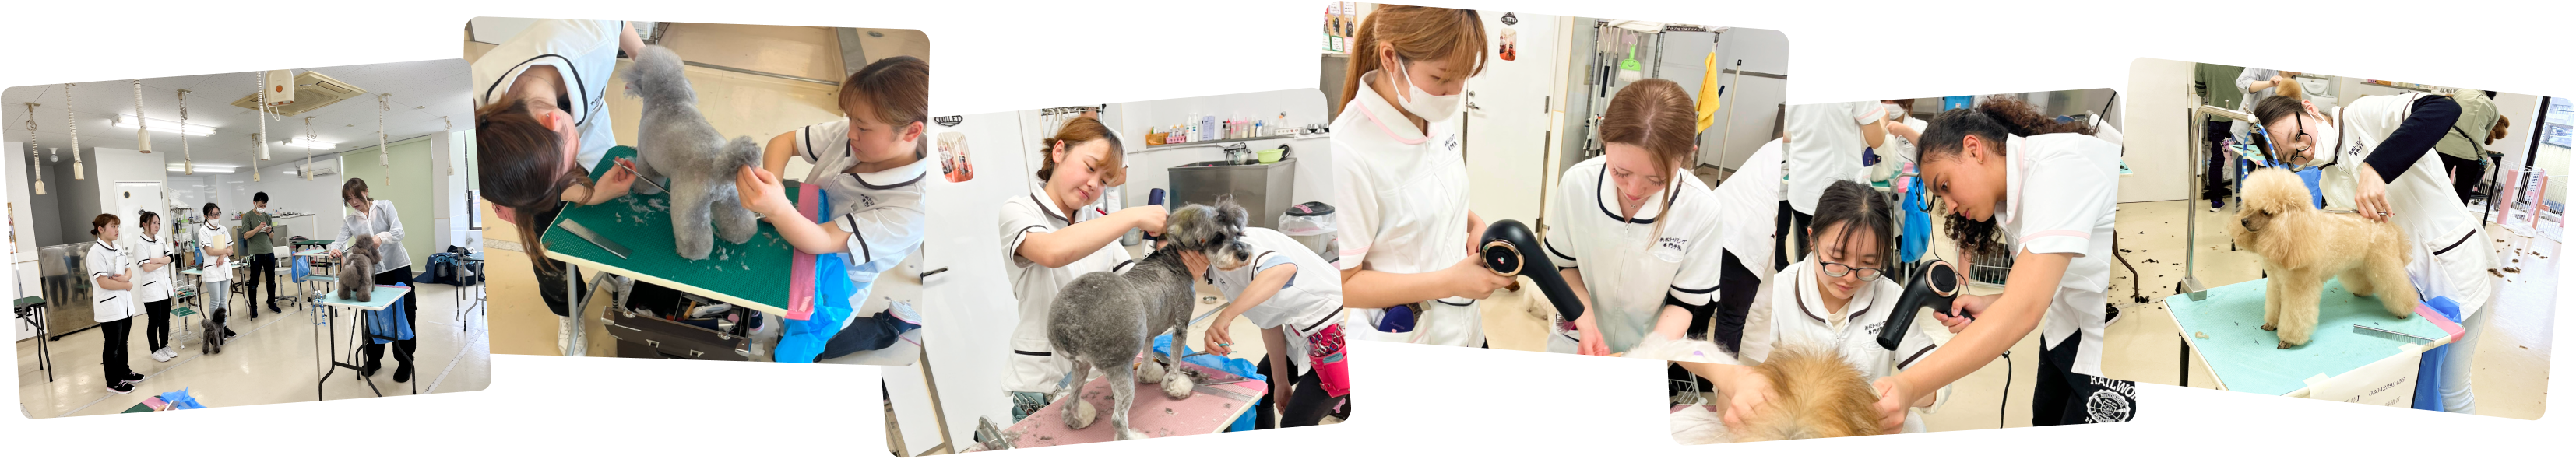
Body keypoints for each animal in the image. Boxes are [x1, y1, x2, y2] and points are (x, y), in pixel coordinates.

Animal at [623, 44, 762, 260]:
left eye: (638, 65)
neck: (670, 99)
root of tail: (720, 168)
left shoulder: (646, 160)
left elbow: (648, 179)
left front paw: (642, 190)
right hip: (733, 198)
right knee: (740, 221)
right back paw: (739, 237)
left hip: (689, 205)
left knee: (694, 235)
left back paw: (688, 252)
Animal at [1040, 195, 1251, 438]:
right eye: (1218, 237)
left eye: (1238, 234)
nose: (1244, 254)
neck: (1177, 261)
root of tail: (1068, 327)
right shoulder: (1181, 325)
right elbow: (1176, 361)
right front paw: (1175, 385)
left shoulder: (1151, 329)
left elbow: (1150, 352)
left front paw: (1149, 374)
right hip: (1118, 367)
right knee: (1118, 419)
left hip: (1079, 366)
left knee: (1071, 400)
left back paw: (1077, 418)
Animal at [2236, 169, 2411, 348]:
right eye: (2250, 207)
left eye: (2266, 212)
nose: (2243, 221)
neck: (2291, 232)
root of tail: (2385, 221)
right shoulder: (2276, 282)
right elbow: (2274, 305)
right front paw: (2271, 323)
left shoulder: (2299, 286)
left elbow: (2295, 315)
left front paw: (2288, 339)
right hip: (2358, 264)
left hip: (2385, 262)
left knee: (2397, 285)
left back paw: (2404, 310)